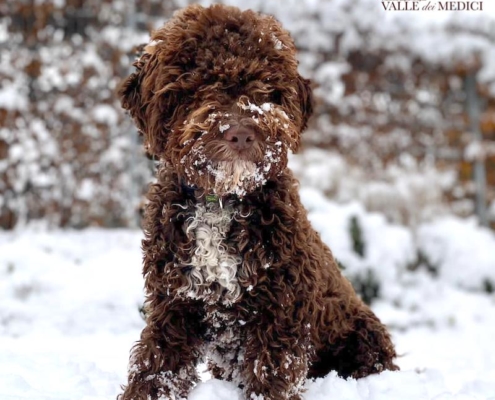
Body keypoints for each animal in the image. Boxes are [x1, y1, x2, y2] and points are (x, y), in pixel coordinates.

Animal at [116, 3, 400, 400]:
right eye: (199, 84)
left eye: (265, 85)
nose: (241, 133)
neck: (220, 201)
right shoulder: (174, 301)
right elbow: (158, 366)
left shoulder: (283, 307)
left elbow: (270, 372)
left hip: (362, 339)